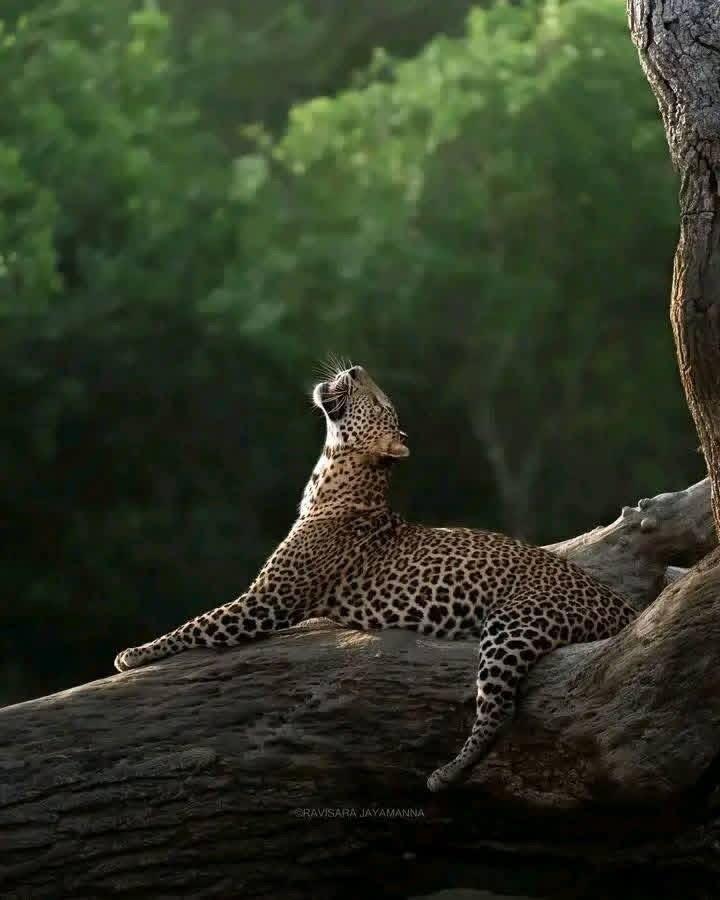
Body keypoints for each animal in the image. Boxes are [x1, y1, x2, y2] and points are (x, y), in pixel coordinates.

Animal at [114, 364, 637, 791]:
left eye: (382, 402)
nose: (356, 368)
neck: (331, 477)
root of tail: (624, 608)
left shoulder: (266, 602)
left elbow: (196, 623)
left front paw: (134, 653)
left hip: (514, 625)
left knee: (498, 708)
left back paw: (446, 773)